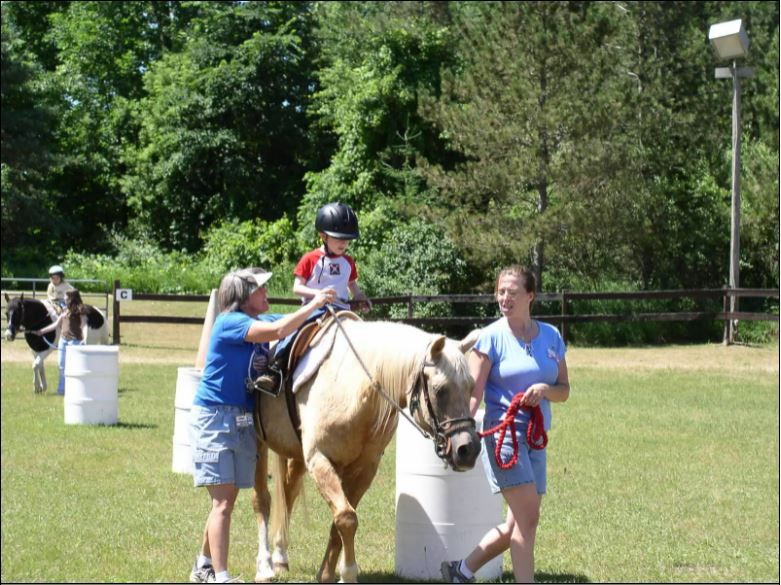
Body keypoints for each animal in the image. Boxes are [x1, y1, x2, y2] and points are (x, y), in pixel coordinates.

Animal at [253, 322, 478, 580]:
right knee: (262, 500)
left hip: (297, 455)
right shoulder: (320, 460)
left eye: (471, 387)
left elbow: (339, 521)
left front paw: (327, 574)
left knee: (288, 491)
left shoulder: (365, 469)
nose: (468, 450)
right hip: (257, 444)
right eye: (440, 390)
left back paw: (280, 558)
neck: (352, 387)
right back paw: (265, 566)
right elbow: (346, 518)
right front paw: (348, 573)